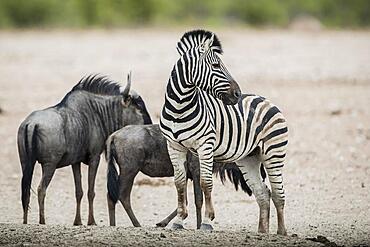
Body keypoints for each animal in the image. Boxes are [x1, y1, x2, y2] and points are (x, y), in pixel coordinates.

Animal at [160, 29, 288, 234]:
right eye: (215, 65)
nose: (237, 94)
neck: (179, 107)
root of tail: (265, 99)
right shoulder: (173, 146)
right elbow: (179, 183)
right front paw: (179, 221)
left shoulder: (205, 145)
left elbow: (206, 183)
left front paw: (207, 222)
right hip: (249, 158)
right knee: (263, 193)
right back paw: (262, 232)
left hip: (273, 153)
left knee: (278, 193)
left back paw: (281, 233)